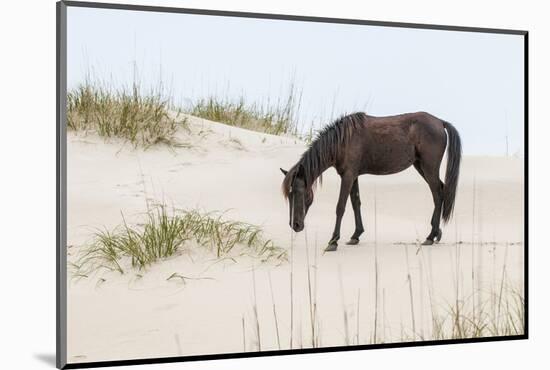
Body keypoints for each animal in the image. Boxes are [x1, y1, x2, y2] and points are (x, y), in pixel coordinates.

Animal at [282, 111, 464, 253]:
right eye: (289, 195)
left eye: (300, 193)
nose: (295, 225)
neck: (343, 141)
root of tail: (440, 122)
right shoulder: (352, 176)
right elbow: (356, 203)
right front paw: (356, 235)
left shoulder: (348, 176)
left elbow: (341, 207)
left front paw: (333, 241)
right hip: (420, 166)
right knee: (441, 190)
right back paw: (437, 233)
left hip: (429, 168)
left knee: (438, 195)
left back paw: (430, 236)